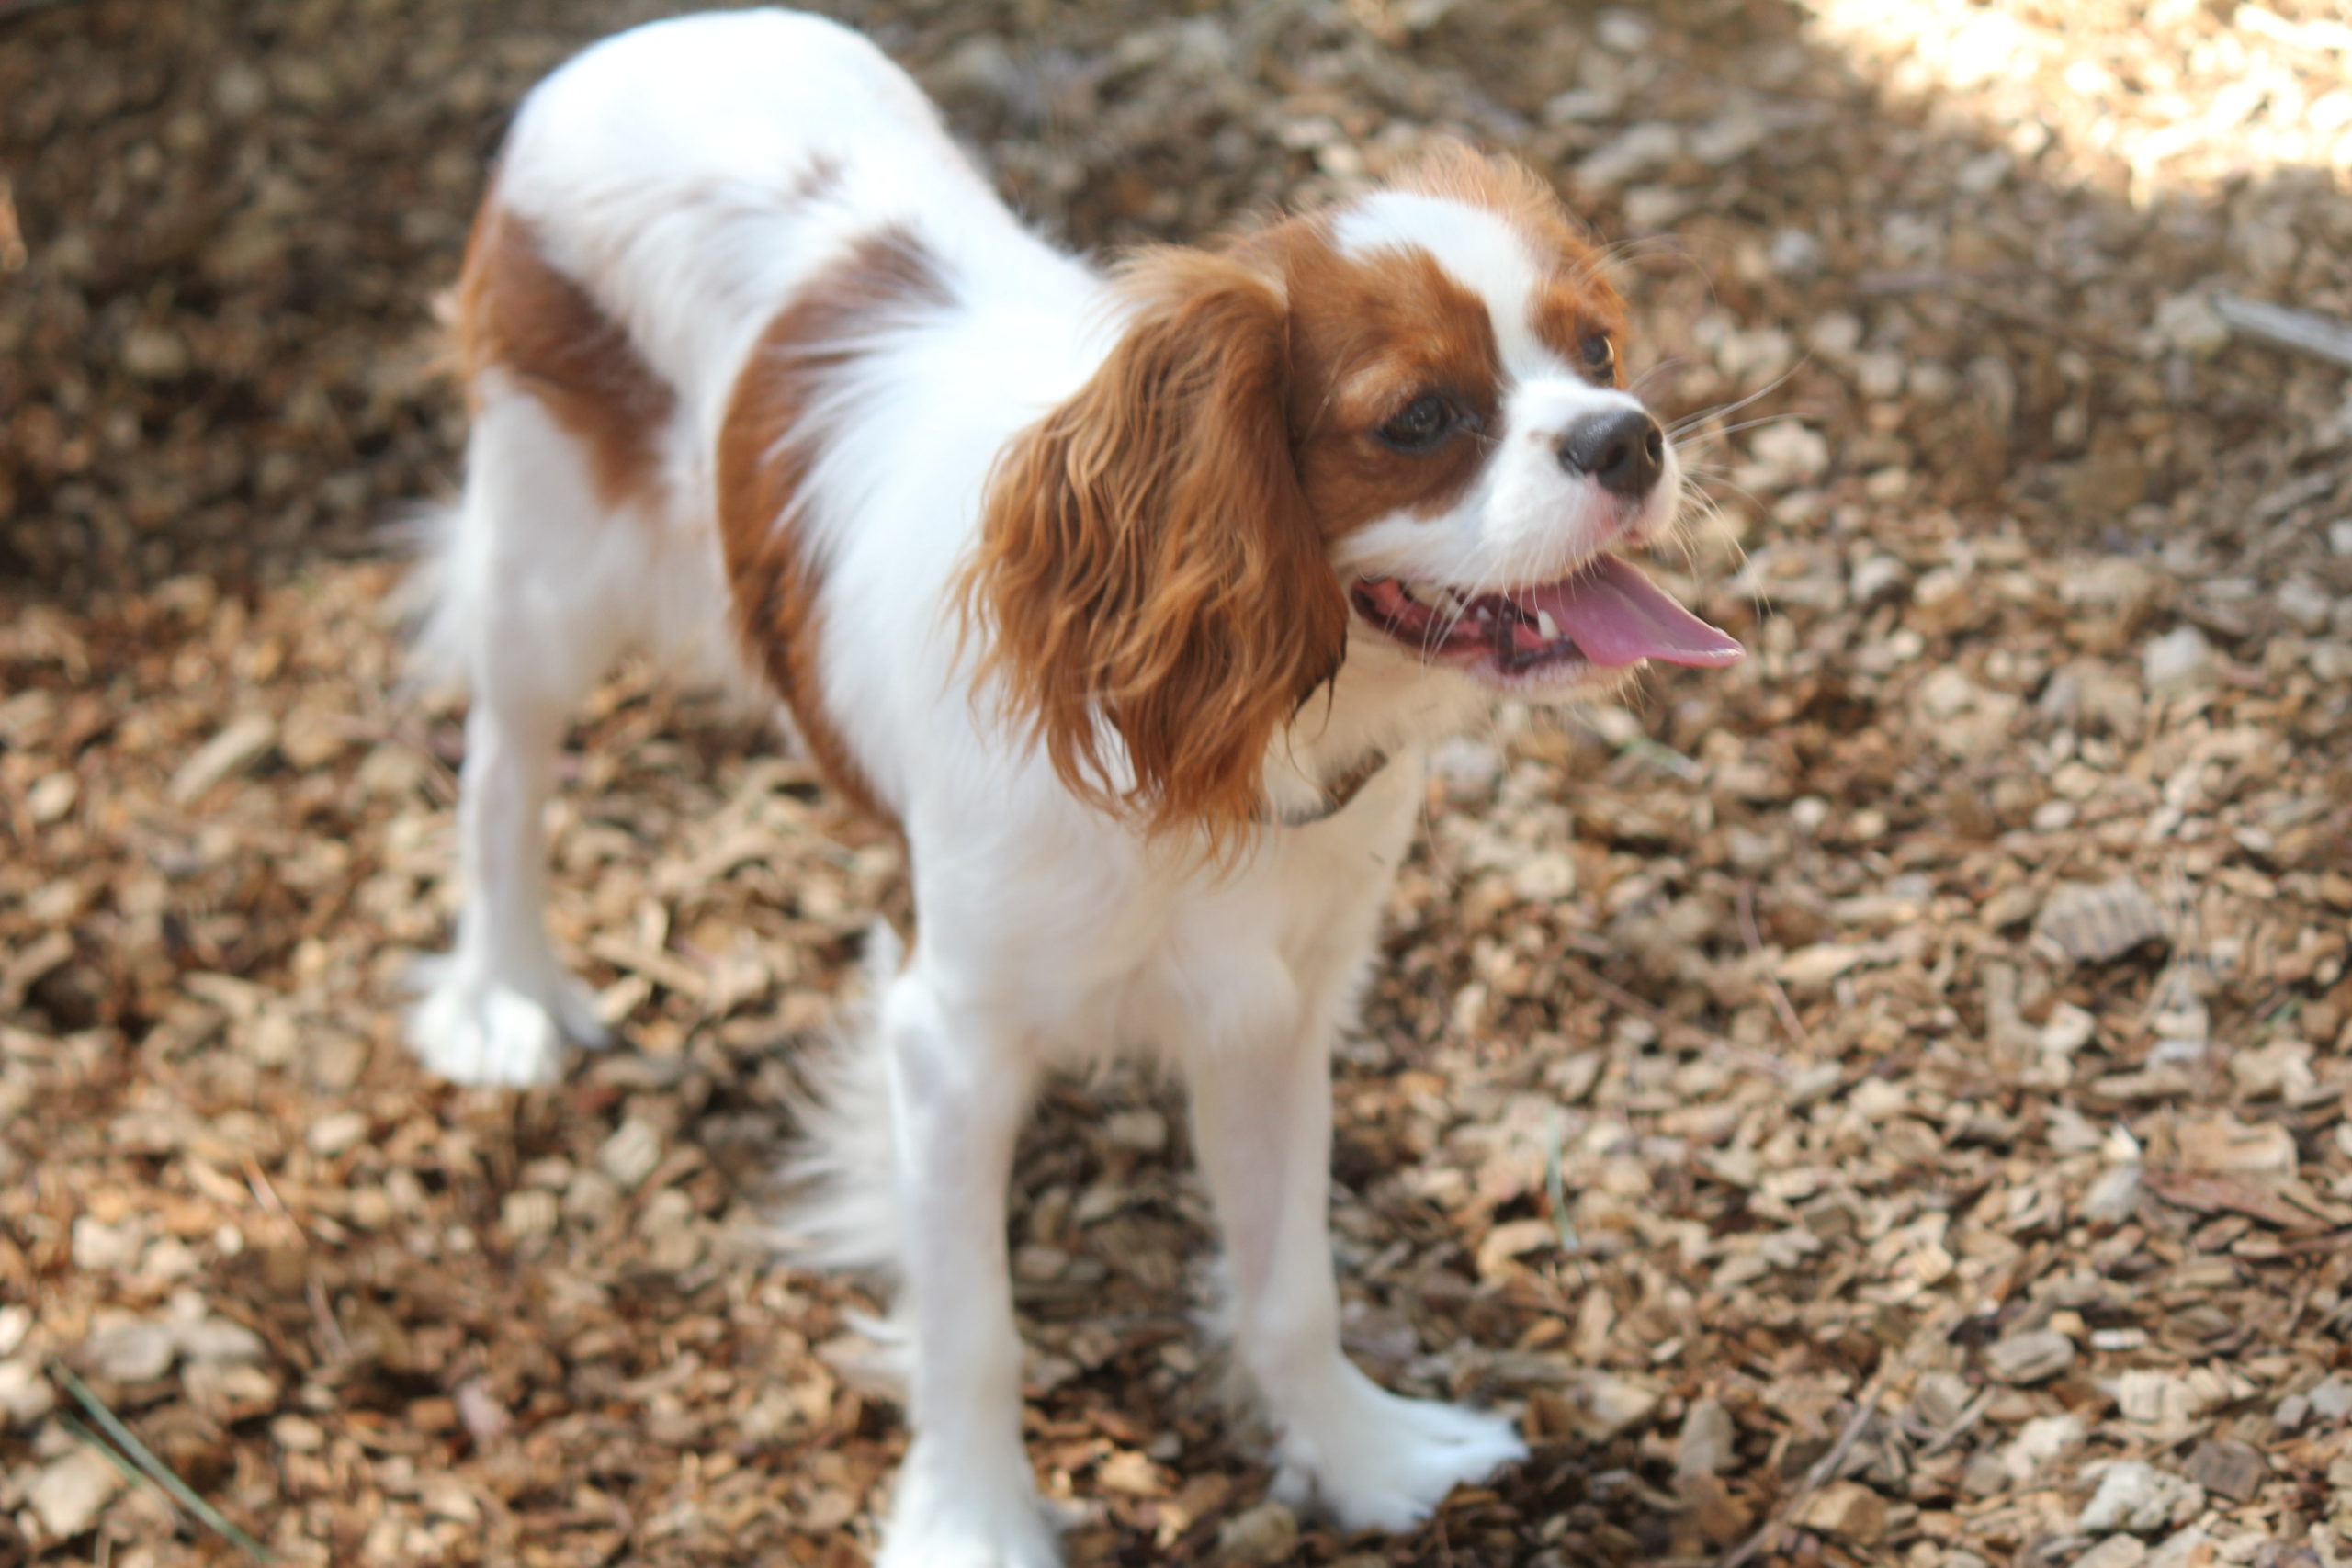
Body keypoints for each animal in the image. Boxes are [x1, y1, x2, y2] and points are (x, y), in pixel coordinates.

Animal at [404, 8, 1740, 1561]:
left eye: (1598, 347)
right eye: (1418, 418)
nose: (1628, 434)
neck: (1232, 742)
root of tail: (648, 42)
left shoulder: (1273, 1017)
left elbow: (1292, 1285)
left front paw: (1361, 1456)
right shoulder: (951, 1043)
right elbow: (973, 1330)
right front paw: (973, 1523)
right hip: (546, 562)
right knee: (503, 771)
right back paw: (502, 995)